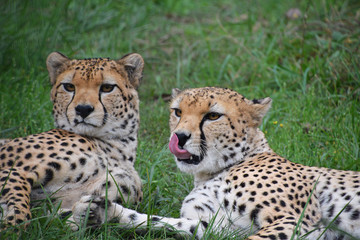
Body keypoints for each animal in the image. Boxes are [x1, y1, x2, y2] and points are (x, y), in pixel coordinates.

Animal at [0, 52, 143, 229]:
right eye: (69, 87)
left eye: (107, 88)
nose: (83, 109)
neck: (117, 148)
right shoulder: (13, 171)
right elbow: (19, 204)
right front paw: (12, 227)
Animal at [72, 87, 360, 239]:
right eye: (178, 112)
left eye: (212, 116)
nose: (180, 137)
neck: (216, 170)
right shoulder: (220, 227)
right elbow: (166, 222)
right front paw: (102, 213)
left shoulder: (295, 220)